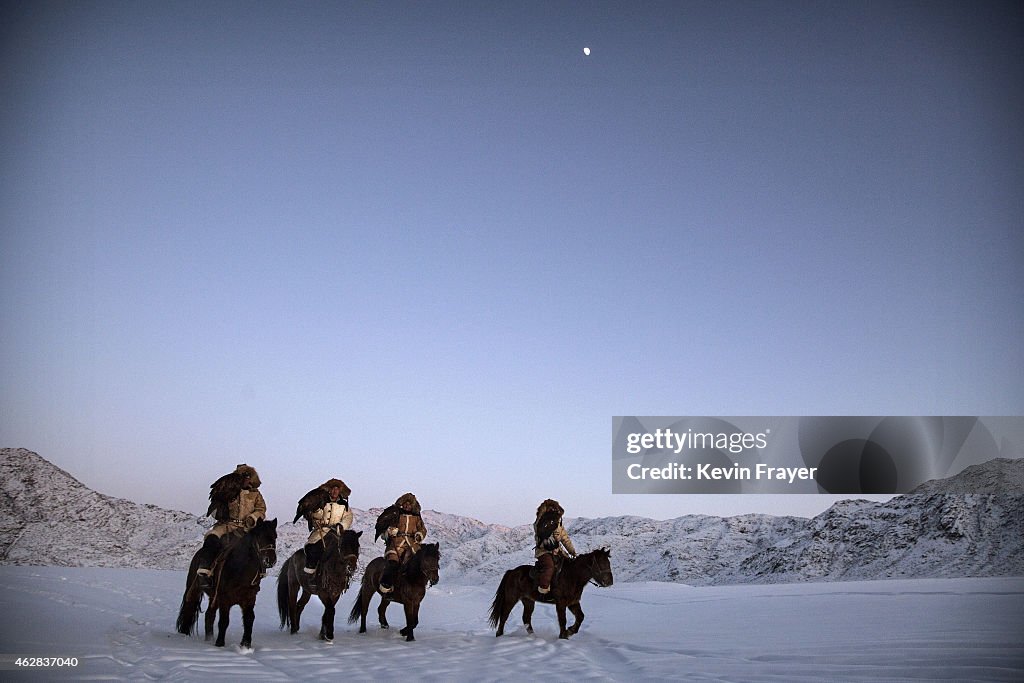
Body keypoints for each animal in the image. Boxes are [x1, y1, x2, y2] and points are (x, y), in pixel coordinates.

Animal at [176, 518, 278, 651]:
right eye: (259, 536)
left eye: (275, 536)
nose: (270, 560)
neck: (240, 570)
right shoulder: (224, 599)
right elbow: (224, 621)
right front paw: (220, 643)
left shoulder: (249, 599)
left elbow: (249, 619)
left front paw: (246, 645)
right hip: (194, 588)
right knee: (189, 607)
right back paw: (184, 634)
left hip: (213, 597)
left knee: (209, 615)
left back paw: (209, 639)